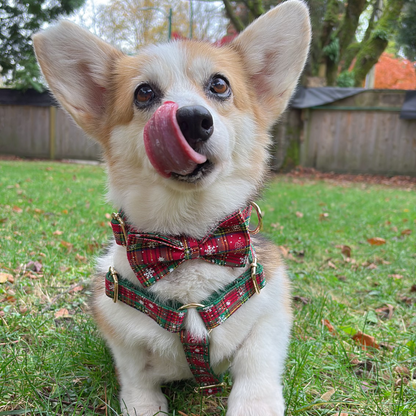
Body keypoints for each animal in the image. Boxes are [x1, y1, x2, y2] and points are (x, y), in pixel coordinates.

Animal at [34, 1, 310, 414]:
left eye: (220, 85)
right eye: (144, 92)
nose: (192, 119)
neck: (190, 242)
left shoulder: (269, 316)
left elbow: (255, 366)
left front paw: (255, 402)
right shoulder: (126, 346)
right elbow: (139, 387)